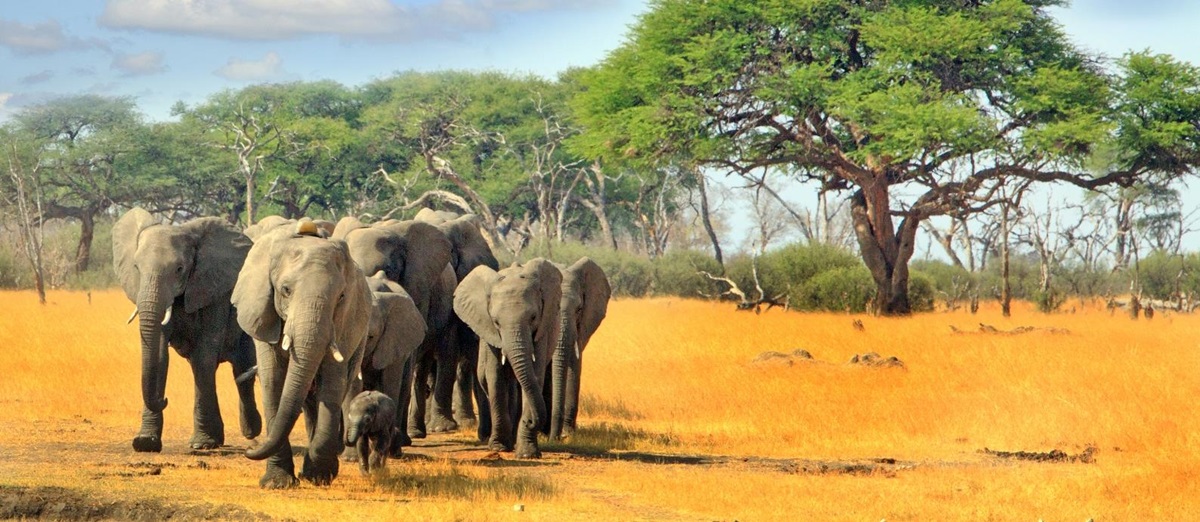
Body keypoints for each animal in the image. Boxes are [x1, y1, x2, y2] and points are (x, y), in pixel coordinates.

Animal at [112, 207, 261, 452]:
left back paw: (251, 431)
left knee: (243, 368)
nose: (164, 400)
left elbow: (204, 358)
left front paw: (202, 444)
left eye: (179, 269)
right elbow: (160, 356)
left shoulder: (215, 289)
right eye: (136, 268)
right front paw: (145, 442)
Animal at [232, 218, 372, 489]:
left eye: (341, 296)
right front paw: (277, 483)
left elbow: (332, 382)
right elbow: (273, 381)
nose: (248, 450)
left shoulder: (342, 325)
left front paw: (317, 476)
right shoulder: (263, 314)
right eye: (285, 290)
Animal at [454, 258, 562, 458]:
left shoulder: (542, 330)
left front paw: (527, 453)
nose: (530, 422)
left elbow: (535, 375)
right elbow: (495, 378)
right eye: (496, 322)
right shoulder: (490, 333)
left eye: (533, 317)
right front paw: (498, 447)